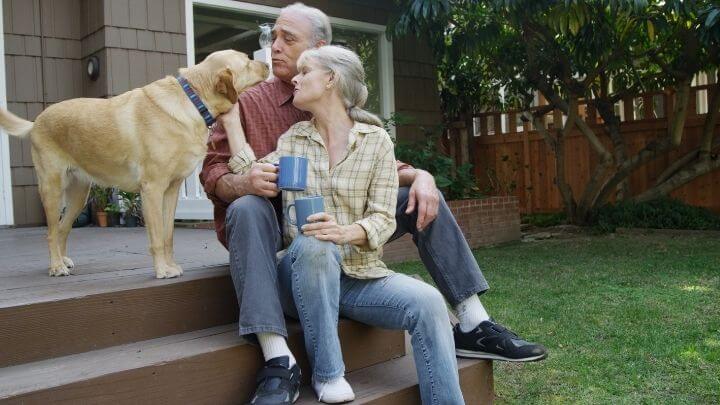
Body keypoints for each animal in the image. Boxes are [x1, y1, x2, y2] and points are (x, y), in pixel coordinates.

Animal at [0, 49, 268, 278]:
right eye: (247, 62)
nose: (266, 65)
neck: (193, 99)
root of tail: (36, 122)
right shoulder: (152, 189)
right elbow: (157, 237)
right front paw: (162, 270)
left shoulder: (171, 191)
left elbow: (168, 235)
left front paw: (170, 265)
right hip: (52, 189)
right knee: (50, 232)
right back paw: (56, 266)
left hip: (78, 195)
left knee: (62, 228)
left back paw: (63, 260)